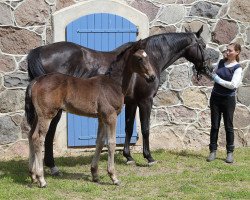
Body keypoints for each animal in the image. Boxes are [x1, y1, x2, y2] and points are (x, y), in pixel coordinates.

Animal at [24, 41, 154, 188]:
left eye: (147, 57)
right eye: (139, 58)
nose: (152, 77)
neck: (113, 84)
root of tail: (35, 81)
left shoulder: (101, 118)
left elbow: (99, 142)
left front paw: (95, 174)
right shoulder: (111, 116)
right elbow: (111, 143)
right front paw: (114, 177)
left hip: (37, 115)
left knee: (30, 135)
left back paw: (33, 175)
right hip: (46, 115)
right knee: (38, 138)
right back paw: (41, 179)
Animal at [27, 25, 207, 174]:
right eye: (203, 46)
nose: (204, 68)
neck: (153, 58)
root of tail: (40, 51)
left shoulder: (132, 103)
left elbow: (128, 128)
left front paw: (129, 157)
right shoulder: (145, 101)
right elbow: (145, 129)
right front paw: (149, 157)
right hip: (53, 111)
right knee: (47, 134)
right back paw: (52, 167)